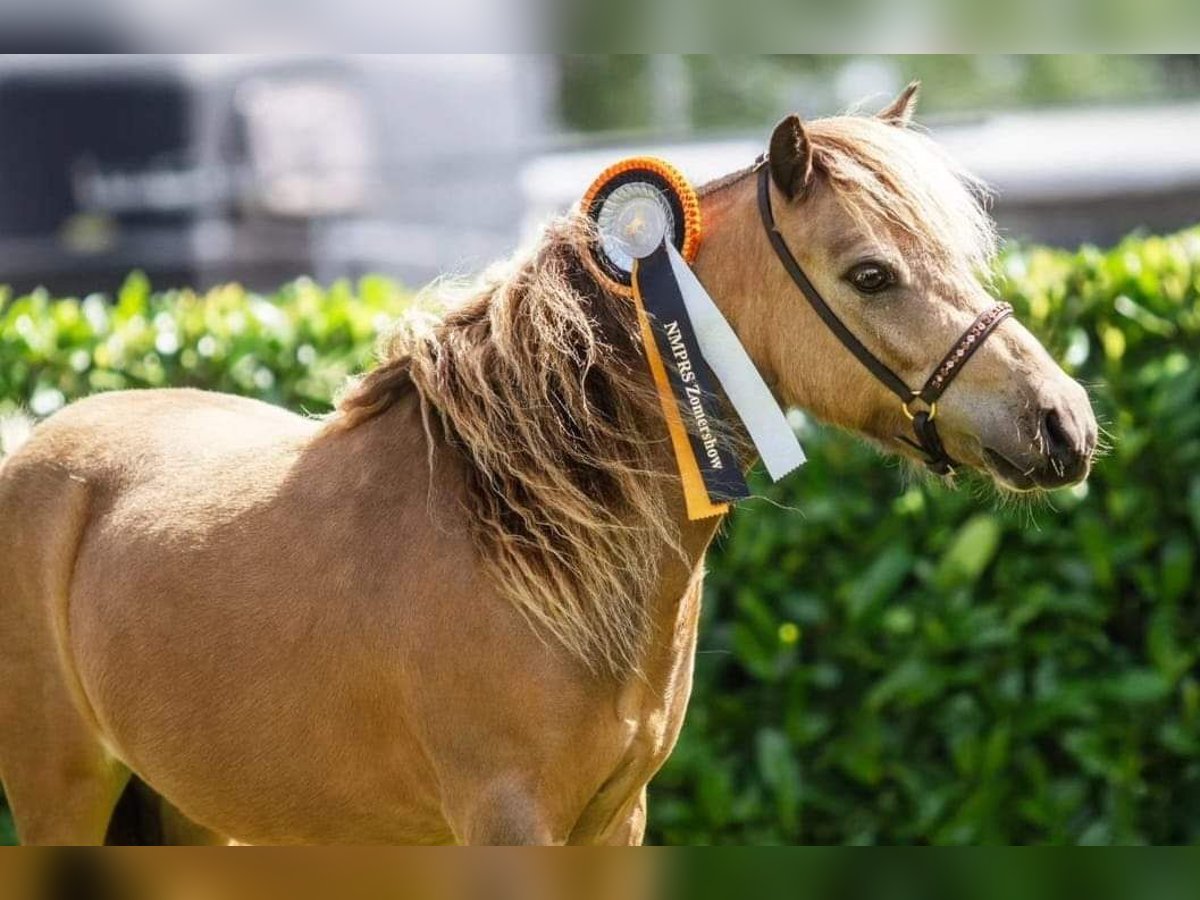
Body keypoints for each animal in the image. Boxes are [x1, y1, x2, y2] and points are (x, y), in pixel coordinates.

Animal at [0, 86, 1099, 844]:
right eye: (872, 274)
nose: (1064, 422)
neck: (527, 539)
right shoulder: (506, 822)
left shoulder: (615, 821)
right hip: (64, 804)